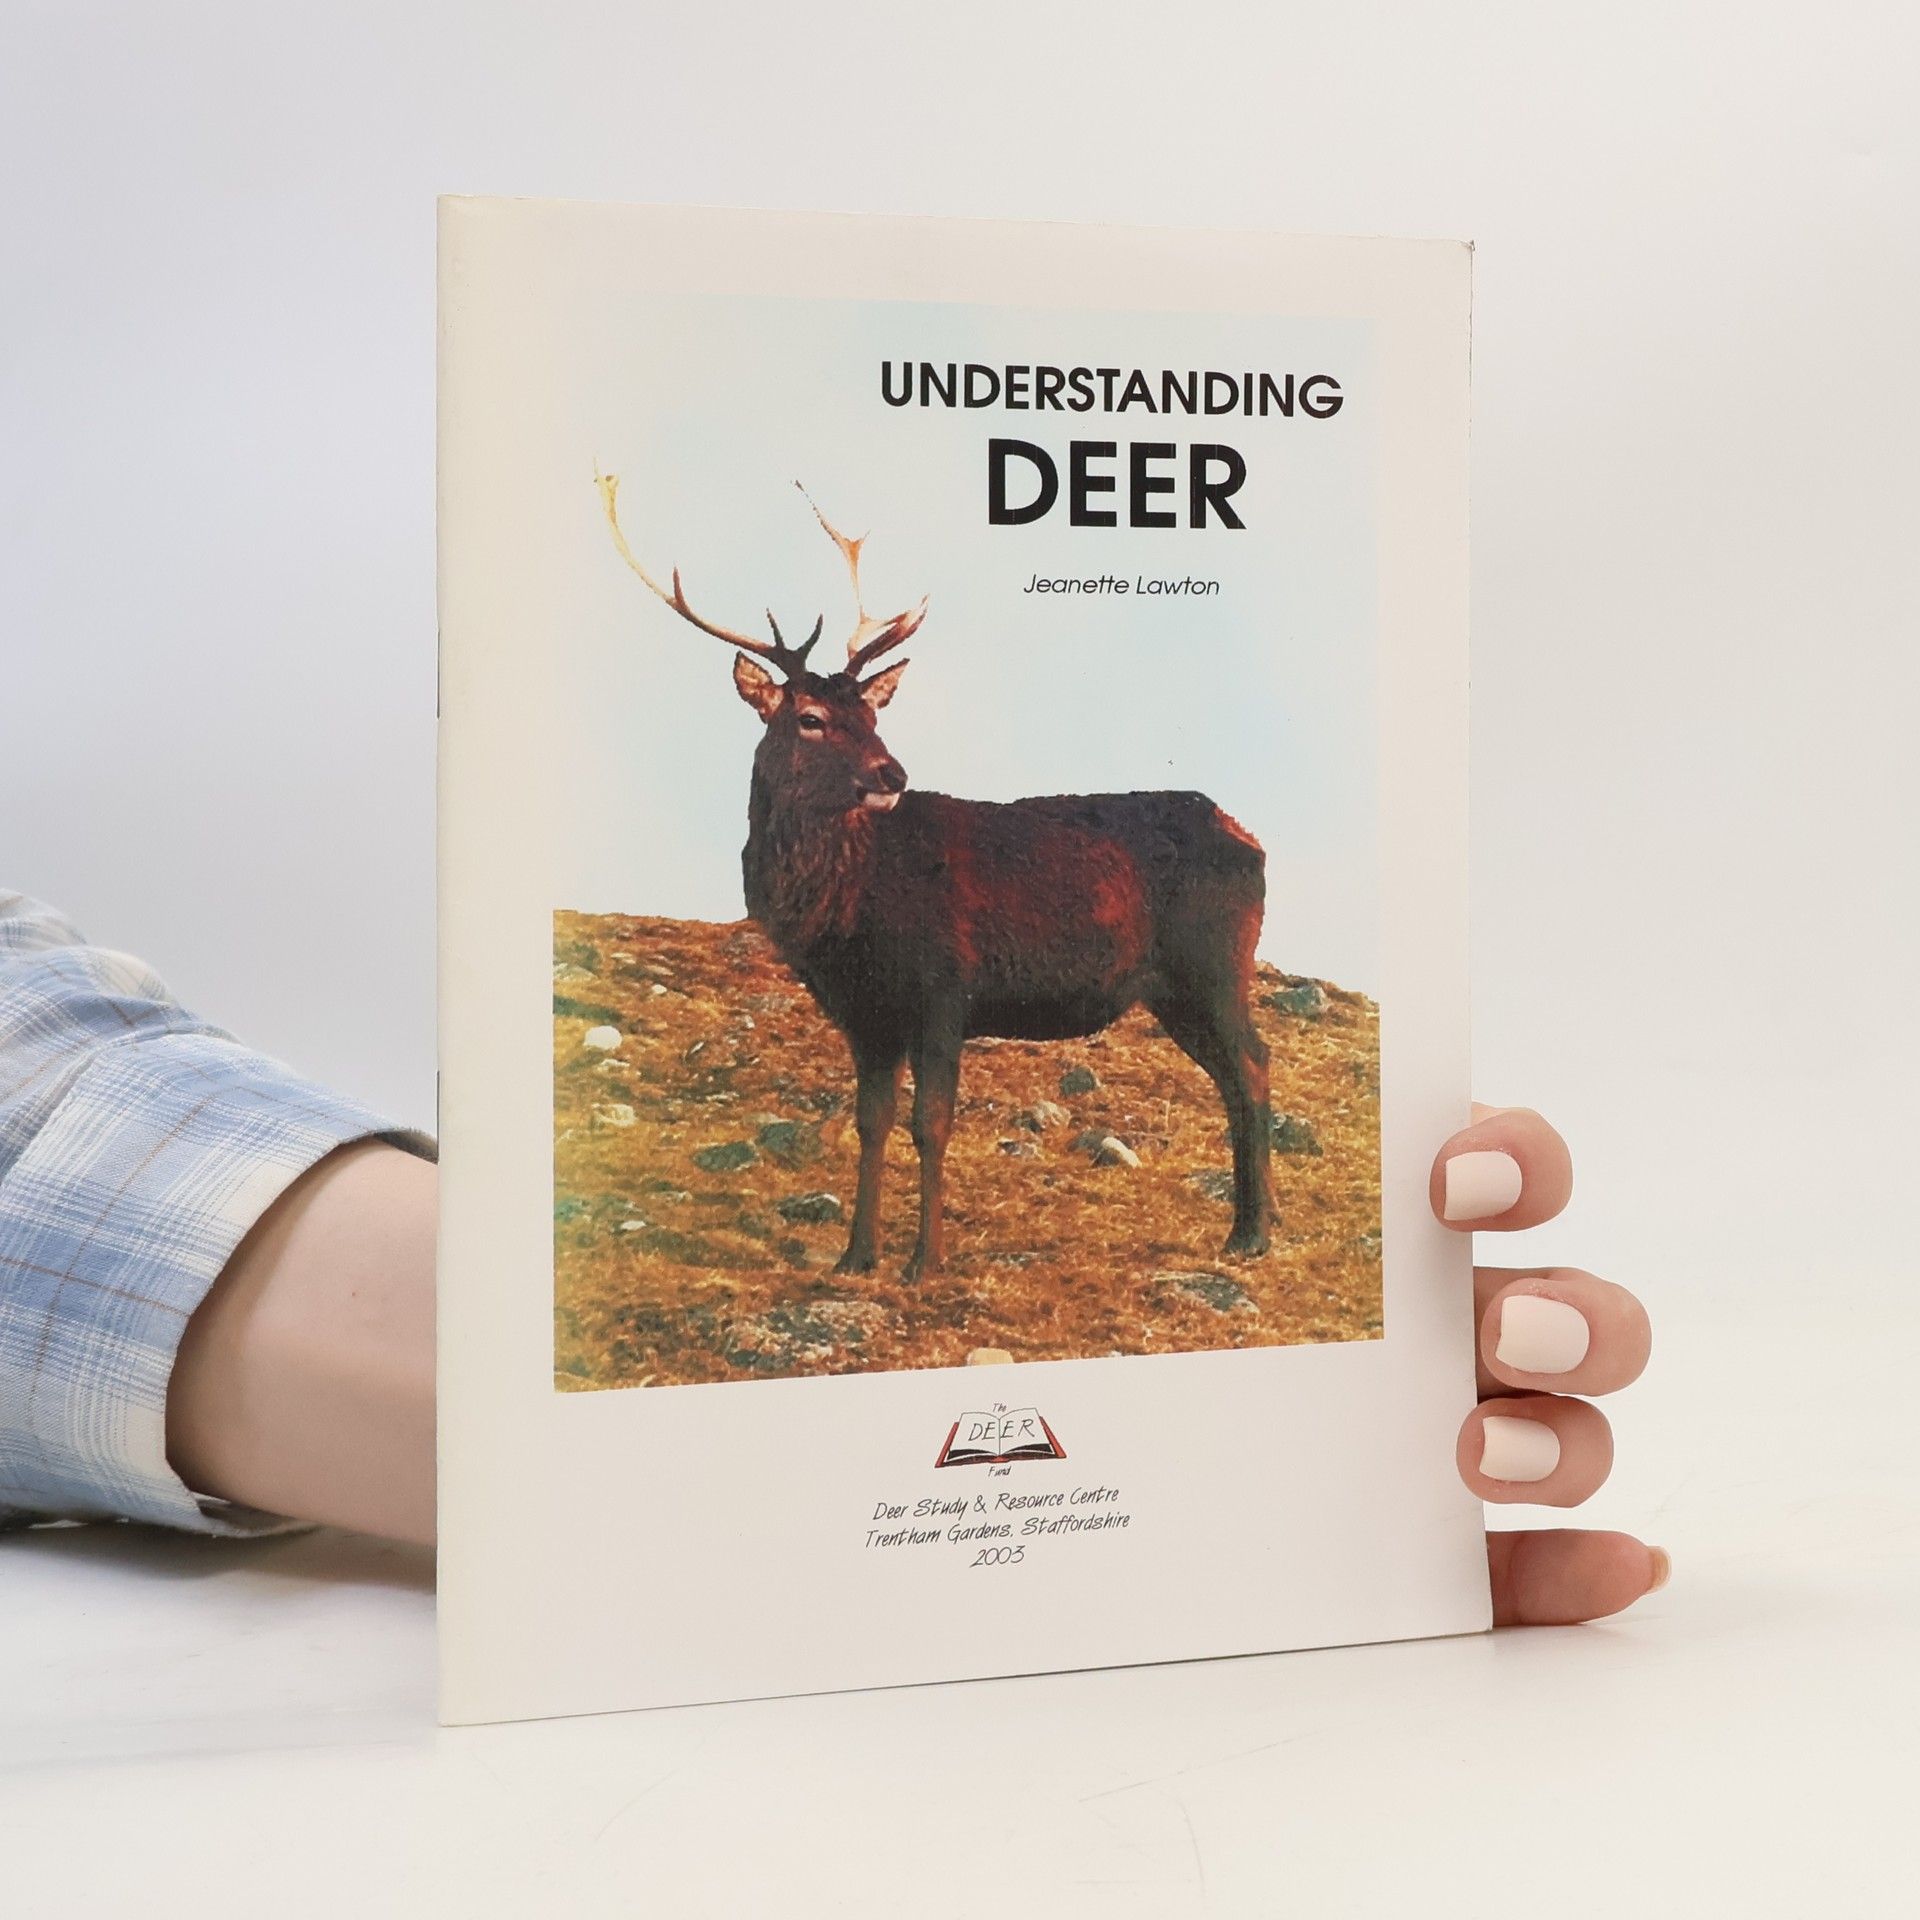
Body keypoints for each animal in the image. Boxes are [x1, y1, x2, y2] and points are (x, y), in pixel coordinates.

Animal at [596, 471, 1276, 1284]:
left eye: (871, 713)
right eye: (811, 717)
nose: (893, 772)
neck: (840, 918)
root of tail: (1253, 841)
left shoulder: (947, 989)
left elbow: (932, 1124)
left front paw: (926, 1260)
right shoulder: (865, 1015)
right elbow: (871, 1123)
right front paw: (855, 1256)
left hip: (1215, 964)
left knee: (1254, 1066)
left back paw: (1255, 1234)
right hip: (1173, 990)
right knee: (1233, 1078)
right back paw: (1247, 1227)